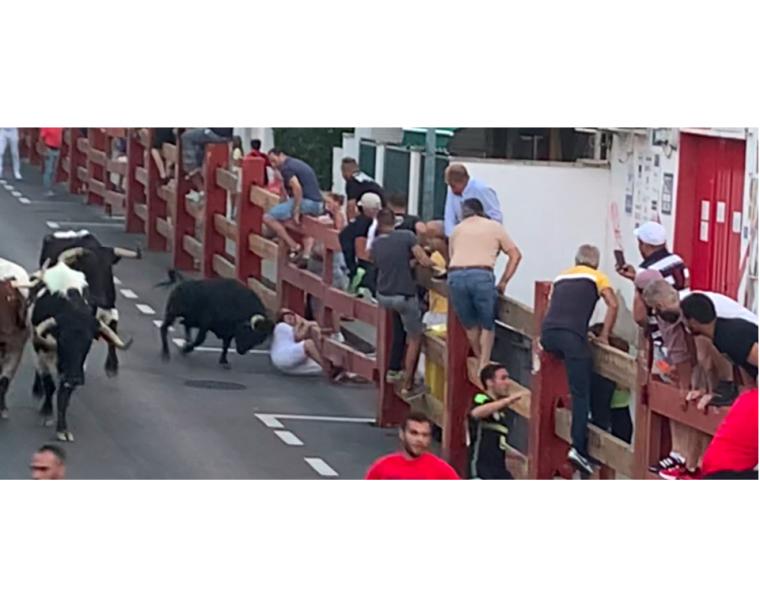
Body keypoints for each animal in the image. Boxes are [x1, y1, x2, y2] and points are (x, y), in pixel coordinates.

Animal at [31, 253, 131, 442]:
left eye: (88, 342)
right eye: (62, 339)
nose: (75, 378)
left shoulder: (77, 366)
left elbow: (64, 395)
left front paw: (62, 429)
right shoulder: (42, 350)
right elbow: (49, 384)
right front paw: (46, 412)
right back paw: (37, 390)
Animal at [38, 232, 140, 378]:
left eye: (108, 268)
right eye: (87, 268)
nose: (101, 299)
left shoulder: (110, 308)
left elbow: (112, 328)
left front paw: (112, 366)